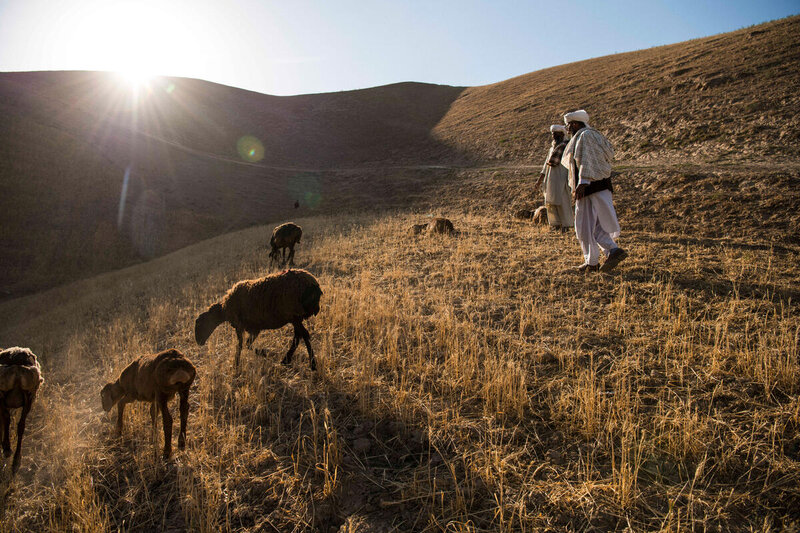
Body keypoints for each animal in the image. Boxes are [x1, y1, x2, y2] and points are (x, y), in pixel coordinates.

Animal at [0, 344, 43, 474]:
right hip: (29, 395)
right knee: (21, 426)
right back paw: (16, 461)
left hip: (3, 394)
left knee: (7, 419)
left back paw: (7, 450)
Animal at [194, 268, 322, 368]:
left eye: (199, 324)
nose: (199, 342)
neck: (225, 309)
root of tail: (313, 284)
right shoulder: (254, 328)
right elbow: (247, 345)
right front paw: (264, 353)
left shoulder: (240, 325)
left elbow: (241, 345)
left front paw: (236, 365)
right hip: (295, 316)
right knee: (298, 336)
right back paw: (286, 360)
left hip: (294, 314)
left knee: (304, 334)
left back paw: (312, 364)